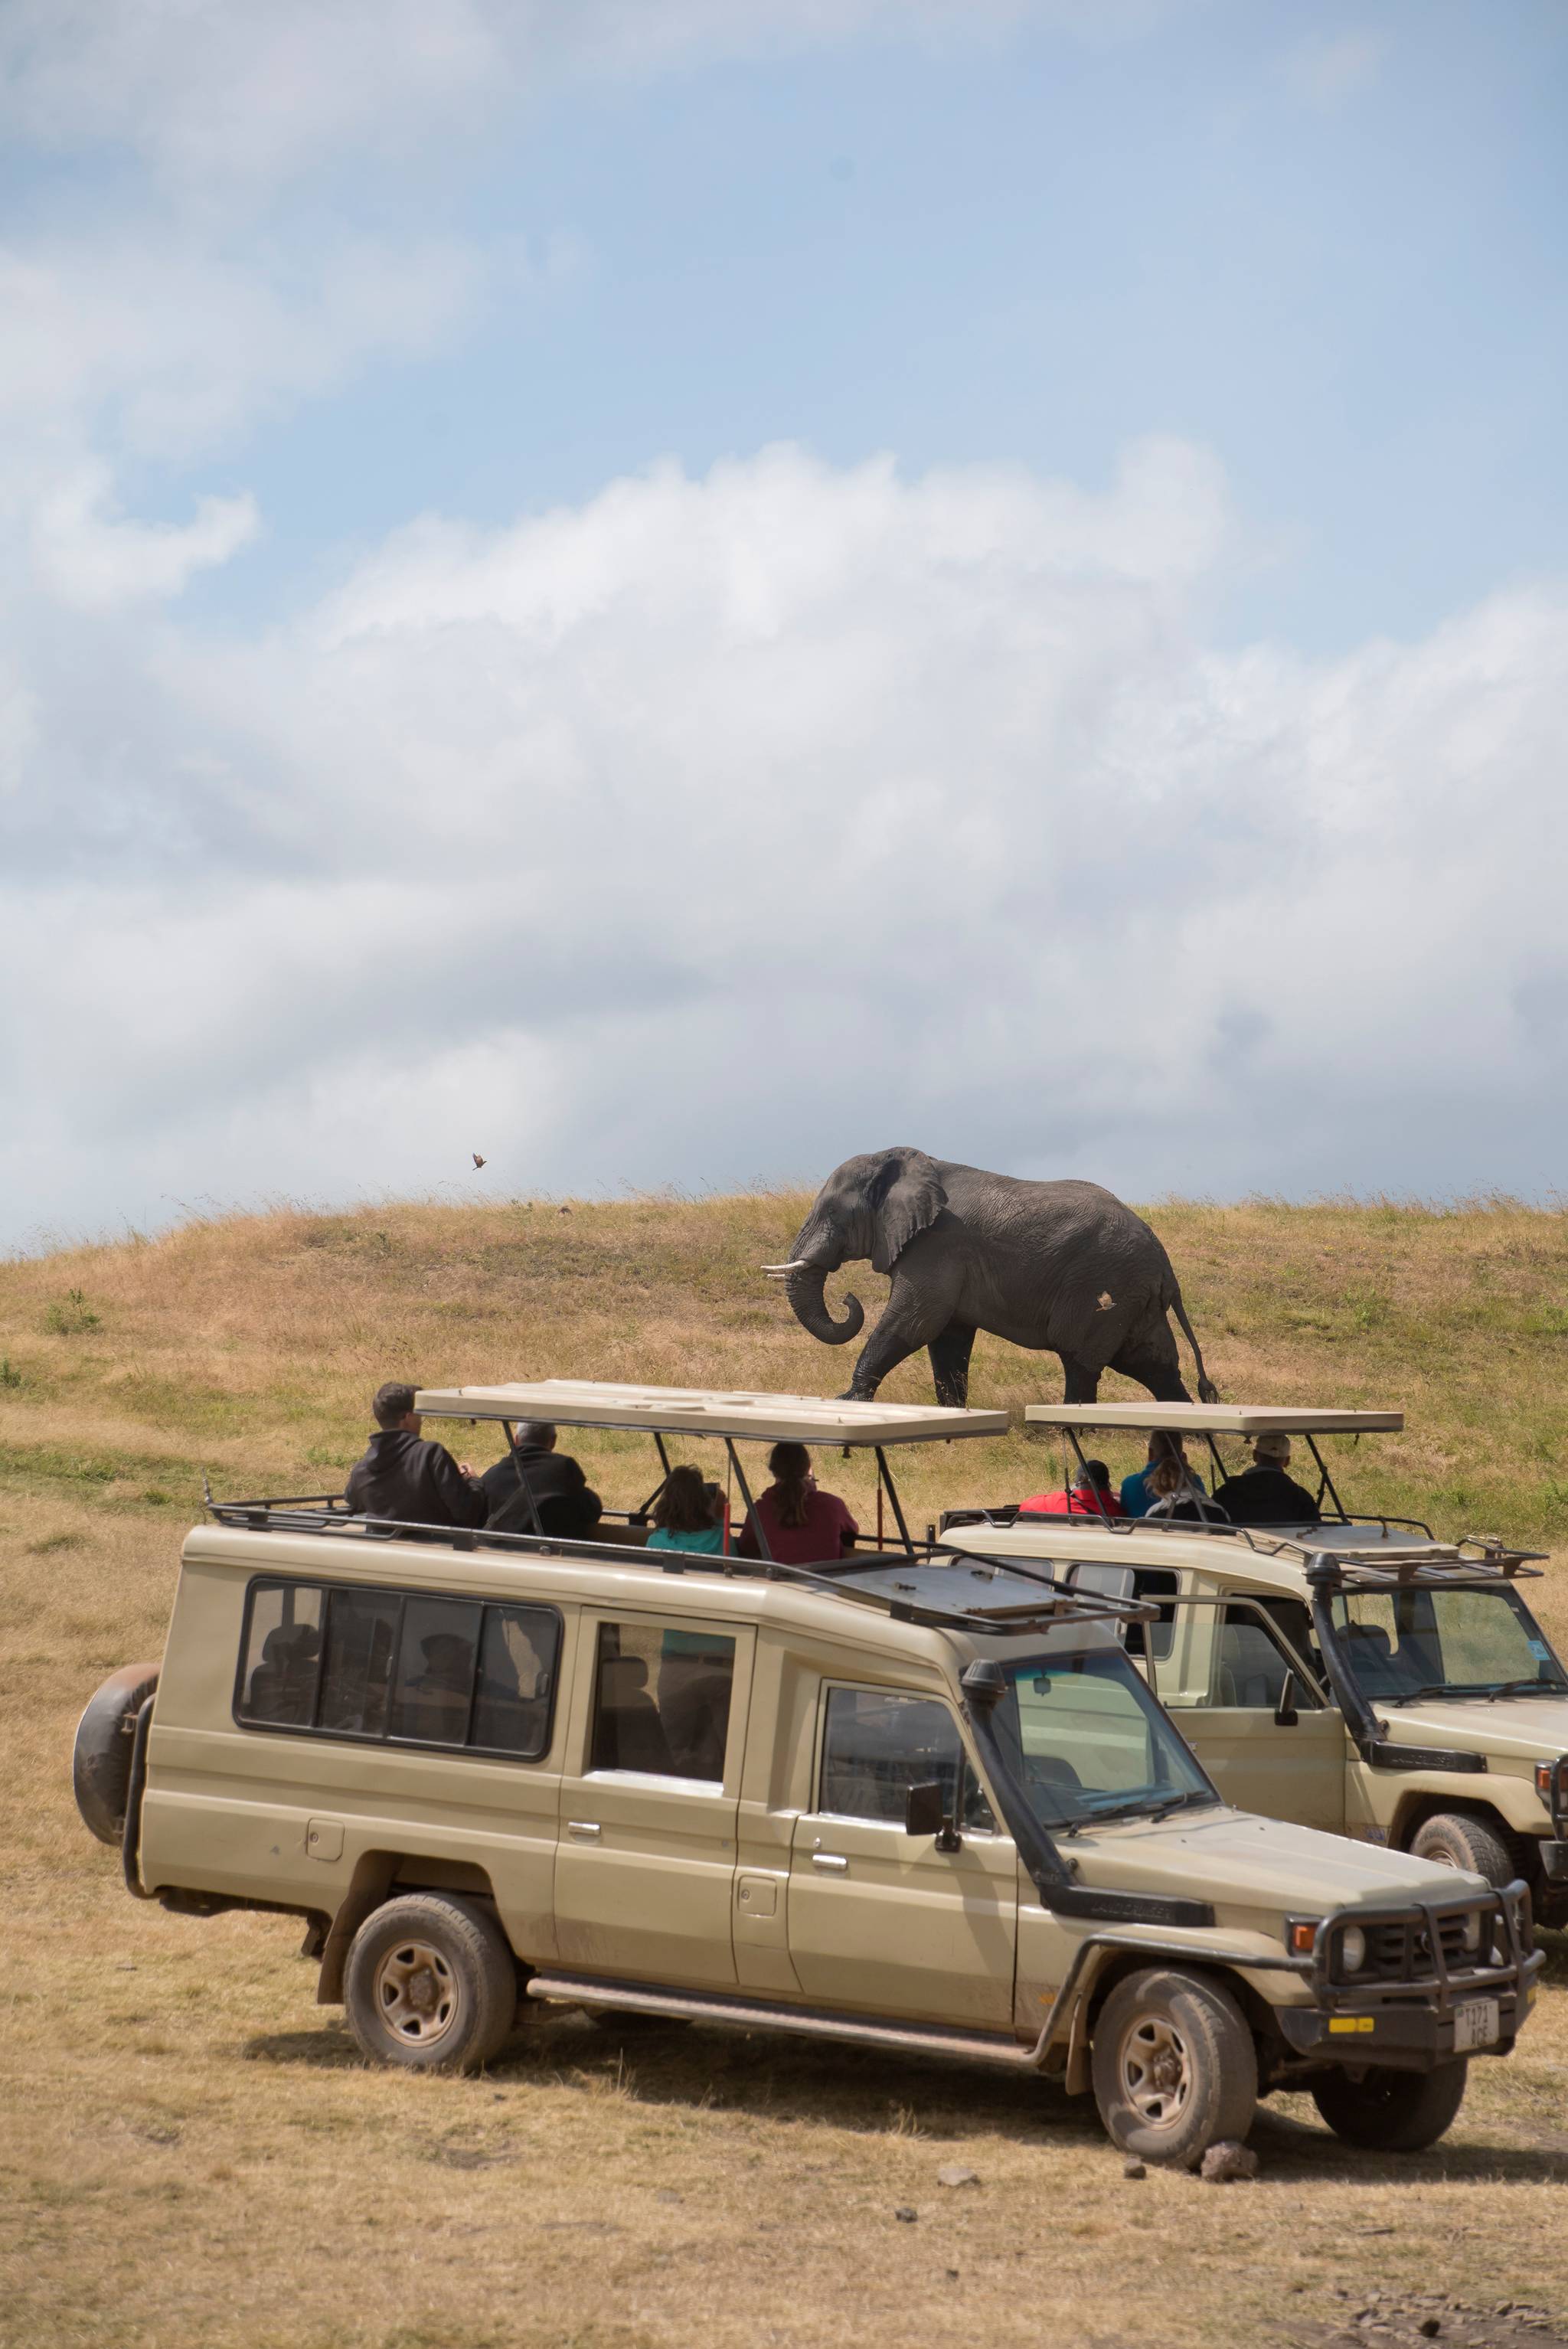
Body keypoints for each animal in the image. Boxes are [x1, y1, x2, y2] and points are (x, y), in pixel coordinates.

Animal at [765, 1146, 1220, 1400]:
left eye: (832, 1212)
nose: (847, 1299)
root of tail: (1166, 1266)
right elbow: (948, 1339)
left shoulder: (938, 1245)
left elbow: (914, 1322)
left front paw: (847, 1401)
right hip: (1134, 1297)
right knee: (1155, 1365)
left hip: (1105, 1287)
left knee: (1081, 1363)